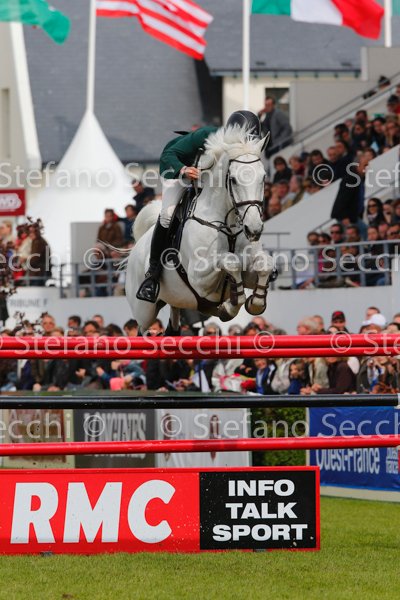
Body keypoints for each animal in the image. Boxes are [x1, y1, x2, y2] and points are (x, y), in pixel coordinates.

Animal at [125, 126, 275, 334]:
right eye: (233, 180)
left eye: (263, 177)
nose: (254, 229)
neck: (228, 224)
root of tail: (136, 248)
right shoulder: (200, 278)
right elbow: (231, 261)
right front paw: (228, 307)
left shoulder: (249, 271)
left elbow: (264, 264)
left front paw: (254, 303)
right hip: (144, 312)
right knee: (141, 330)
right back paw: (148, 287)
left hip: (176, 299)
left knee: (173, 325)